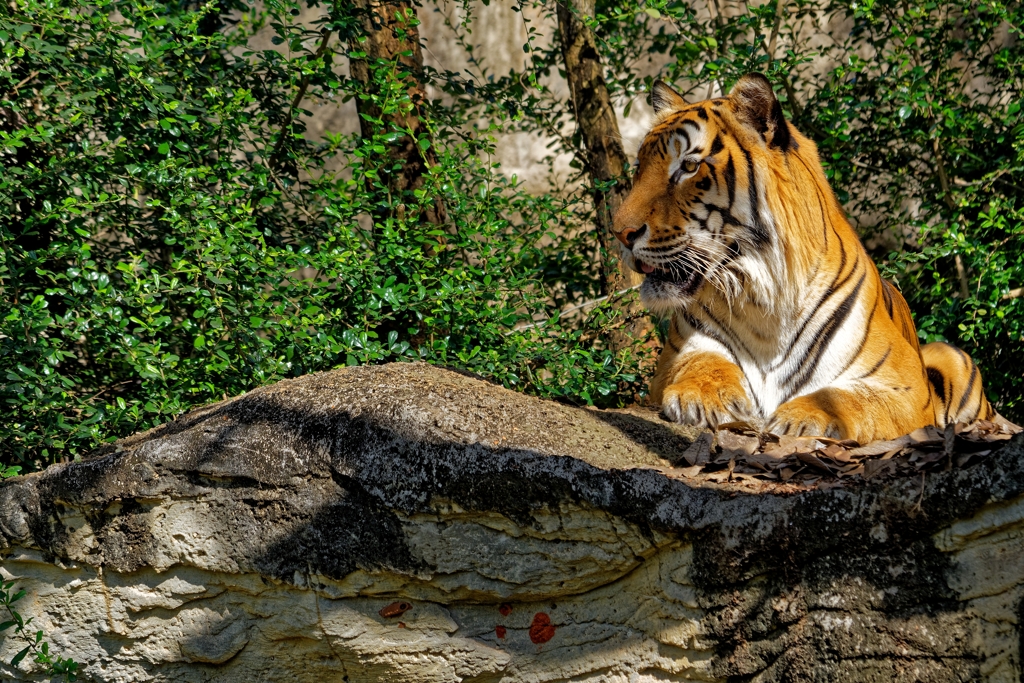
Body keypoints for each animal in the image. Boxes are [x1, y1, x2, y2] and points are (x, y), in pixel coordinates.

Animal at [610, 73, 995, 444]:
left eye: (689, 167)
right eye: (639, 166)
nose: (619, 233)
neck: (760, 302)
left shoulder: (905, 385)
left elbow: (845, 397)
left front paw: (804, 417)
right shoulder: (678, 353)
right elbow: (702, 364)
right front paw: (703, 397)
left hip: (952, 356)